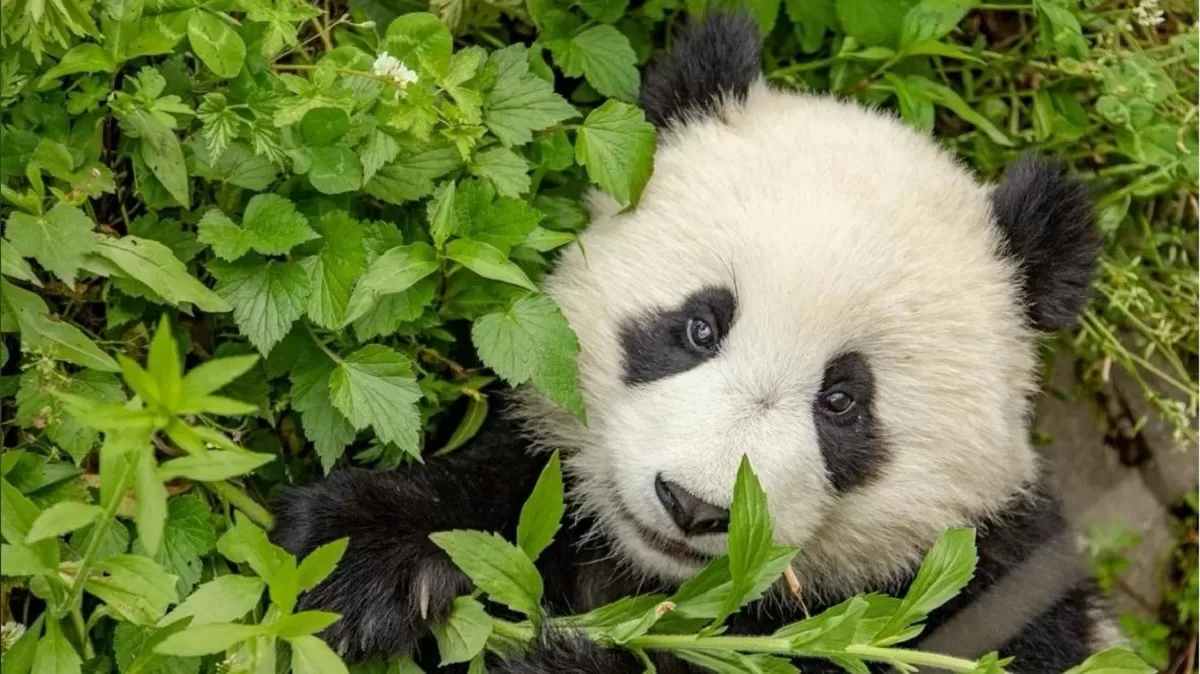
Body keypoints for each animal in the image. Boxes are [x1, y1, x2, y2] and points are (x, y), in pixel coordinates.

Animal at [271, 12, 1116, 673]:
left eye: (843, 402)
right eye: (698, 328)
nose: (695, 507)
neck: (661, 586)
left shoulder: (993, 591)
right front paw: (360, 553)